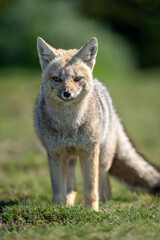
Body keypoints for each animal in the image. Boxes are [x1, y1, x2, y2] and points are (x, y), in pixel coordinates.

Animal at [35, 37, 160, 210]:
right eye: (56, 78)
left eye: (77, 78)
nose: (67, 93)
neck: (69, 124)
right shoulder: (55, 153)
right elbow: (58, 190)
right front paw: (58, 209)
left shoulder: (89, 151)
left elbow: (90, 189)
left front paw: (91, 211)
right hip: (70, 159)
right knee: (73, 186)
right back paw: (69, 204)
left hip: (102, 158)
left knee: (103, 185)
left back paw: (105, 203)